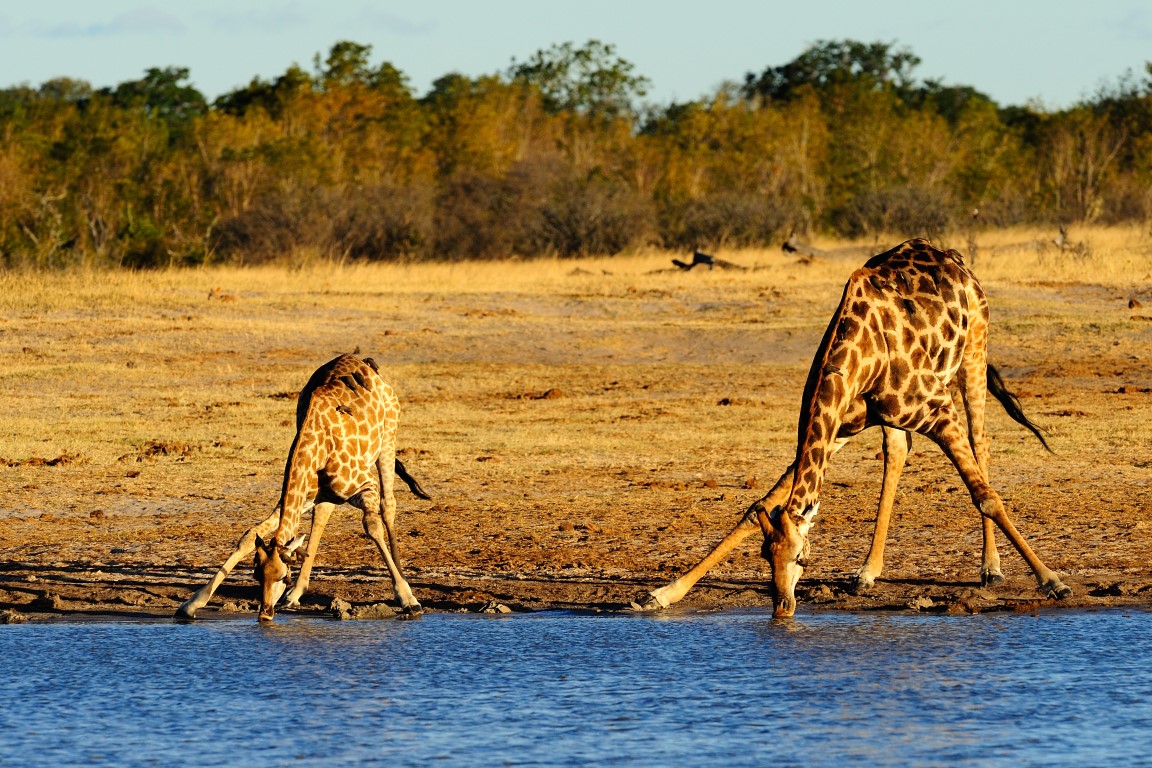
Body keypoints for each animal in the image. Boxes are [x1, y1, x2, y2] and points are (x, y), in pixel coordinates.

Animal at [175, 354, 430, 622]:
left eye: (282, 576)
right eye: (257, 575)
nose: (265, 614)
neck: (316, 447)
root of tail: (368, 365)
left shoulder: (365, 485)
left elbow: (373, 526)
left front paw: (407, 598)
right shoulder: (304, 495)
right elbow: (249, 535)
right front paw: (192, 603)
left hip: (388, 440)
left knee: (388, 504)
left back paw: (403, 580)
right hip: (325, 493)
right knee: (322, 516)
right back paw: (296, 593)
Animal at [637, 239, 1071, 616]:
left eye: (802, 558)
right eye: (765, 556)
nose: (782, 607)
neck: (860, 355)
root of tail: (955, 259)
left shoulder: (938, 410)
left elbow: (986, 496)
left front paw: (1052, 581)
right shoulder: (839, 427)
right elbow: (755, 506)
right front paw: (661, 594)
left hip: (974, 355)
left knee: (981, 446)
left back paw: (990, 569)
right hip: (889, 415)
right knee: (897, 453)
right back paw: (866, 573)